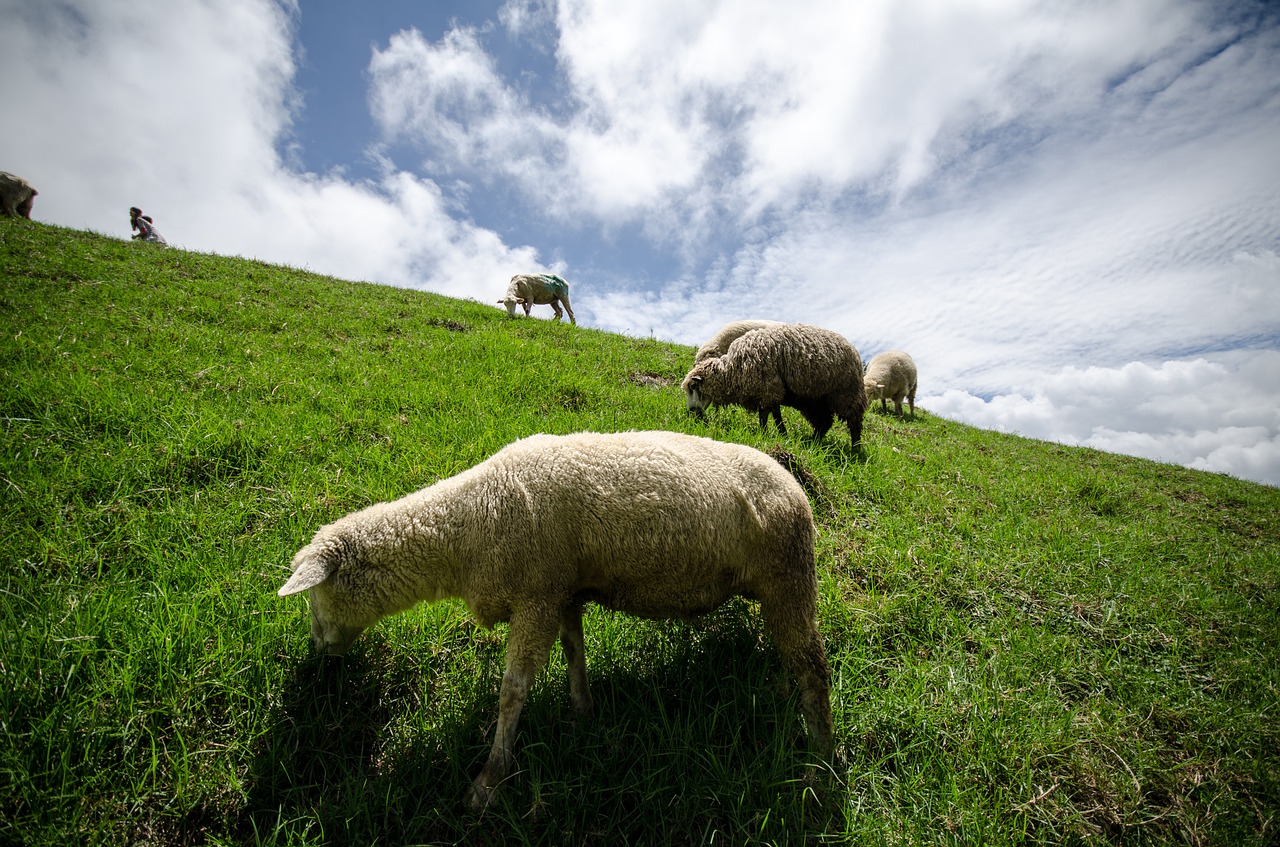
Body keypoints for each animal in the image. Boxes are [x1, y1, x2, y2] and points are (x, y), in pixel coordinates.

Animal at [276, 435, 834, 813]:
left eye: (313, 599)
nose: (317, 654)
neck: (471, 526)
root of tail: (795, 486)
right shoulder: (562, 590)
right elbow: (573, 650)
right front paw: (583, 711)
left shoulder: (537, 595)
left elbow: (512, 692)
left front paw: (489, 781)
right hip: (771, 586)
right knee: (789, 656)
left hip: (789, 574)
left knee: (814, 667)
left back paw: (823, 762)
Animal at [680, 322, 870, 450]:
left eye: (693, 387)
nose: (692, 412)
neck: (733, 370)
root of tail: (854, 350)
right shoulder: (772, 390)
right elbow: (776, 414)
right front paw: (782, 433)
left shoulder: (768, 387)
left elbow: (765, 415)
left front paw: (764, 433)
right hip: (815, 400)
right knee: (825, 423)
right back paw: (812, 442)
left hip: (846, 392)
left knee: (854, 422)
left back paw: (856, 450)